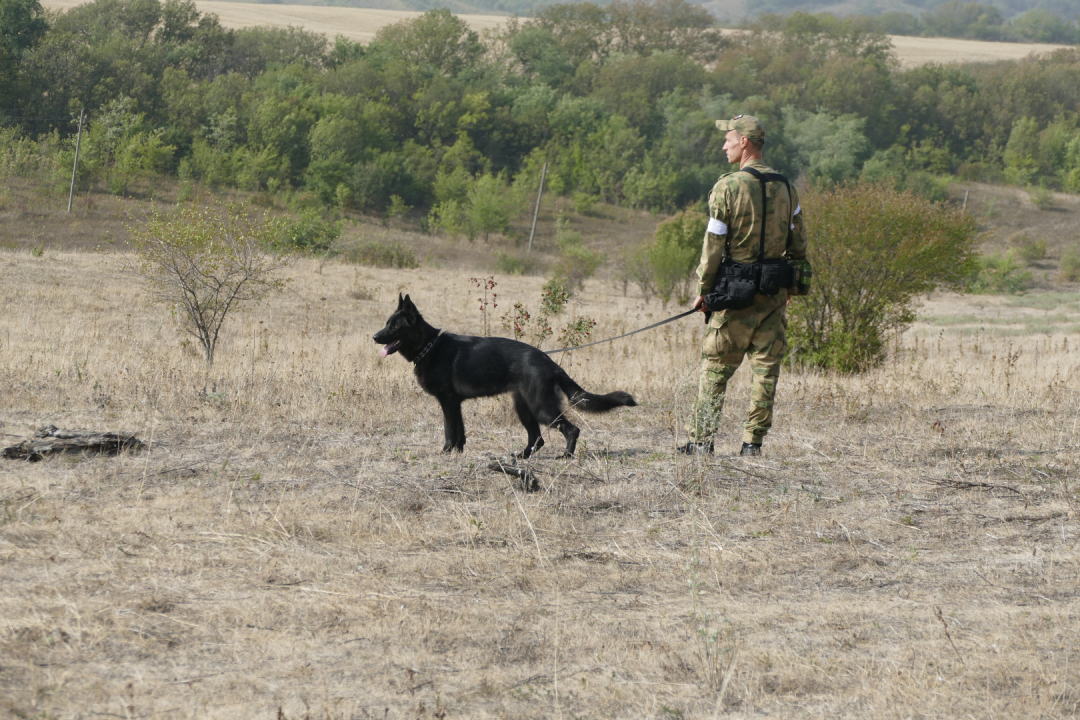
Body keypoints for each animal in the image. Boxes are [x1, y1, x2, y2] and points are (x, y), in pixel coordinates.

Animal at [375, 291, 635, 455]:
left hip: (541, 407)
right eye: (387, 323)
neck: (429, 346)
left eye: (395, 326)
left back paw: (566, 456)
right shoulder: (455, 404)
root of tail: (549, 362)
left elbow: (450, 430)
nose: (375, 337)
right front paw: (458, 452)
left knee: (571, 429)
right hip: (523, 407)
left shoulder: (448, 402)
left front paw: (446, 452)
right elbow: (460, 431)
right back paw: (522, 457)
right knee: (537, 439)